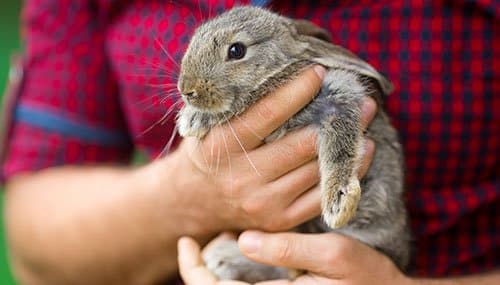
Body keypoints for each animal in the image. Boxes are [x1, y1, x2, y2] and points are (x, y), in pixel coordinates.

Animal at [176, 5, 410, 280]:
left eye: (236, 50)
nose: (186, 90)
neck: (280, 70)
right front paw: (191, 117)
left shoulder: (338, 93)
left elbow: (340, 145)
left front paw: (339, 202)